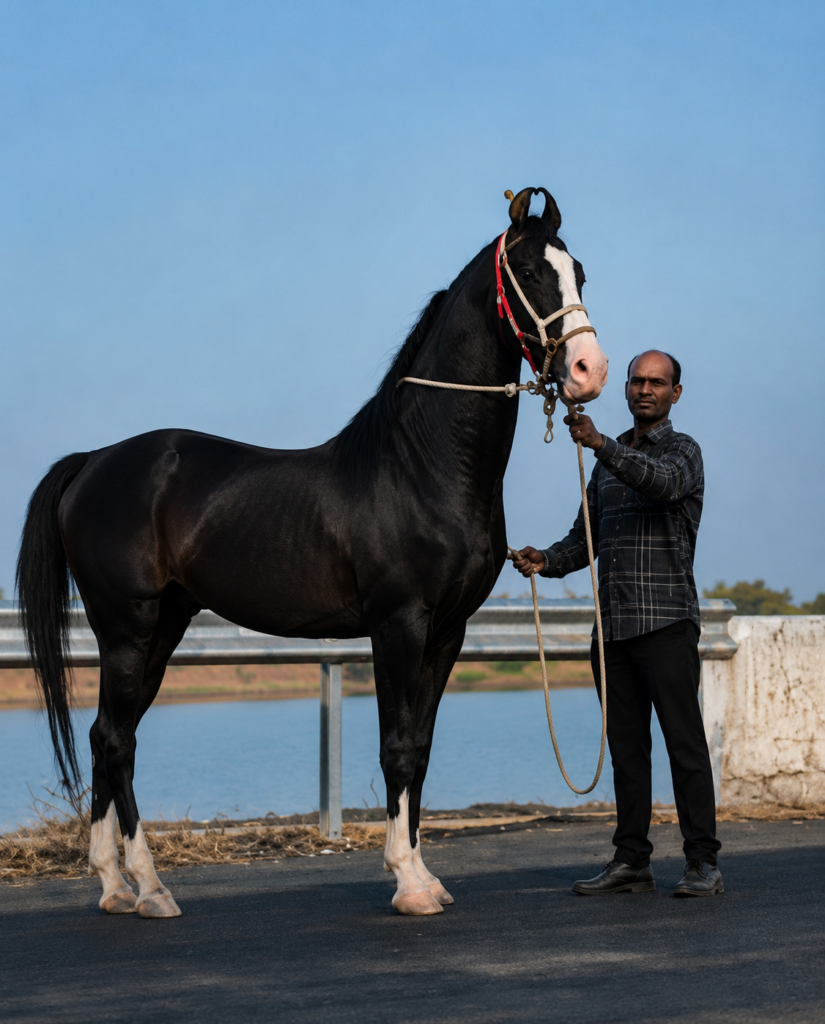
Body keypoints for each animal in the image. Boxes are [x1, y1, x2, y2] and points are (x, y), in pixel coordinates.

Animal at [17, 187, 607, 919]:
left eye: (578, 272)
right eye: (527, 270)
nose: (588, 371)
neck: (420, 465)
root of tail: (93, 461)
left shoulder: (448, 632)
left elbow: (423, 749)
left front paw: (426, 875)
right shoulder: (397, 625)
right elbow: (395, 748)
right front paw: (408, 884)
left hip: (162, 628)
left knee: (107, 738)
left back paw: (116, 887)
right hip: (126, 626)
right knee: (115, 739)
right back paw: (149, 888)